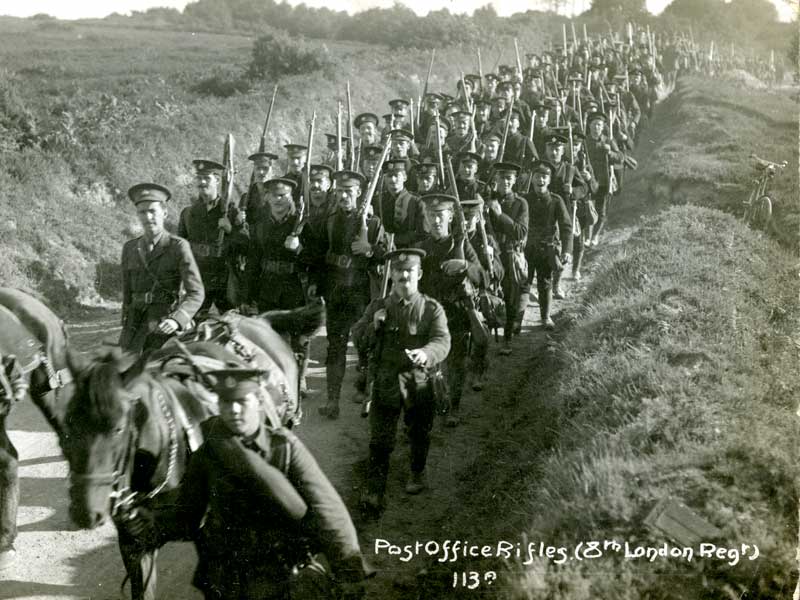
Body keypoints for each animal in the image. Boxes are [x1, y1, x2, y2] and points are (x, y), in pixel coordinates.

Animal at [62, 308, 324, 600]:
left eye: (119, 428)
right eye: (67, 423)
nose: (85, 511)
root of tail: (256, 319)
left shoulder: (211, 544)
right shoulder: (134, 544)